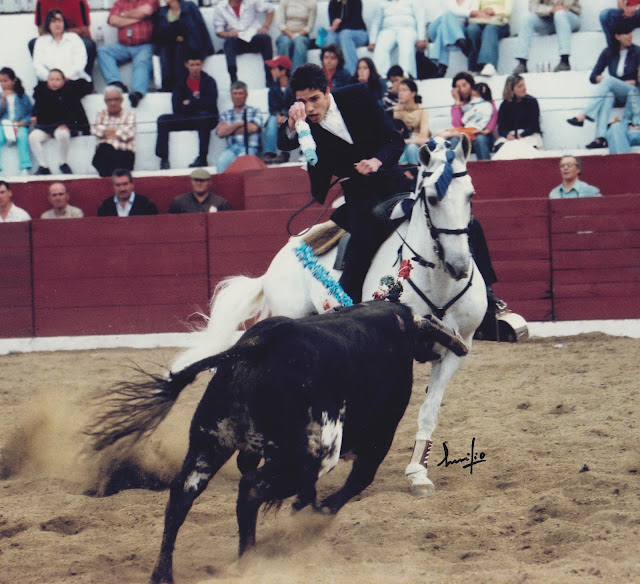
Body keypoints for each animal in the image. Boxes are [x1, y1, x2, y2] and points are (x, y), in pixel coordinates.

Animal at [86, 302, 467, 584]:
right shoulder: (378, 437)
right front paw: (311, 518)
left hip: (210, 442)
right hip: (311, 455)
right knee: (251, 489)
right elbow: (357, 482)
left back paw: (164, 574)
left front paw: (303, 510)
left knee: (182, 494)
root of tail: (258, 343)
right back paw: (251, 561)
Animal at [170, 134, 488, 496]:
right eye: (432, 198)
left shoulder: (455, 352)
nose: (460, 265)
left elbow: (429, 410)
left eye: (471, 194)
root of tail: (279, 260)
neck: (438, 283)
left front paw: (418, 473)